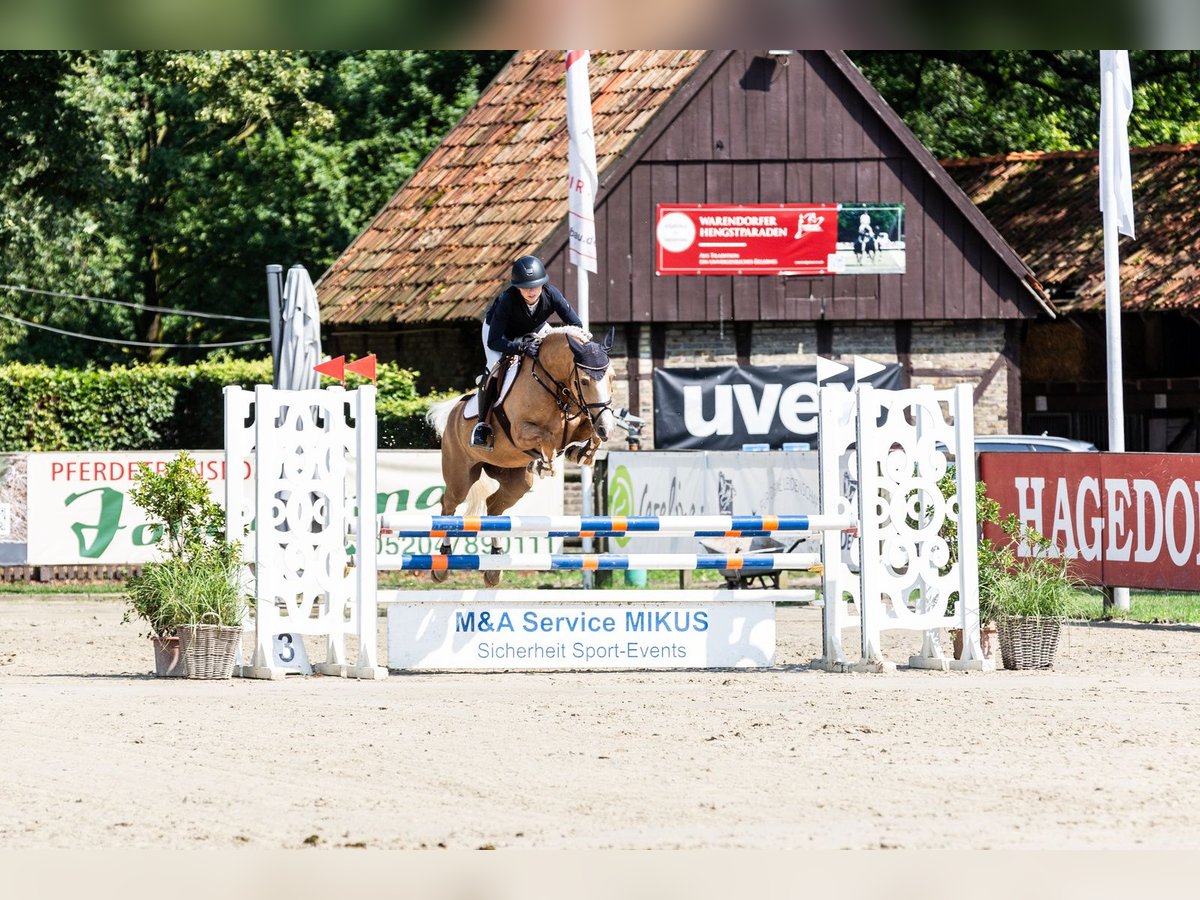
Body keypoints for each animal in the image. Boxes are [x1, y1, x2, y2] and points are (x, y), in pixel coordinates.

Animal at [427, 328, 619, 588]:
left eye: (612, 378)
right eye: (585, 381)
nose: (607, 428)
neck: (554, 386)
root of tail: (454, 411)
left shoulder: (584, 419)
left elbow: (589, 432)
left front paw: (581, 454)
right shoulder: (521, 432)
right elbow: (547, 437)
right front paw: (547, 464)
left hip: (515, 480)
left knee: (493, 507)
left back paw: (494, 567)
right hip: (460, 476)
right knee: (448, 506)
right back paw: (442, 565)